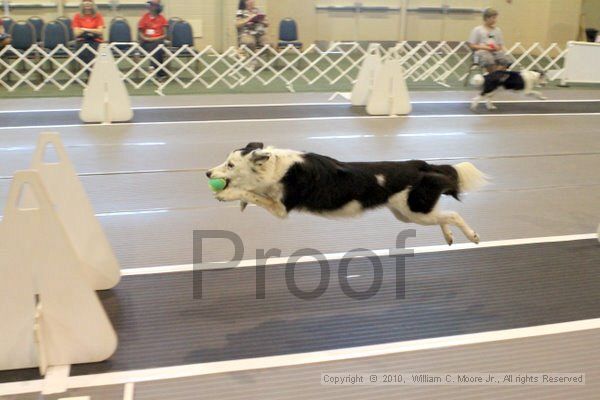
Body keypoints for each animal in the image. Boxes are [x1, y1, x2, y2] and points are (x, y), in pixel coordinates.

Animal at [206, 142, 488, 245]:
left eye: (230, 165)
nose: (208, 173)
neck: (277, 167)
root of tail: (420, 164)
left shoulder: (281, 209)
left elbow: (251, 194)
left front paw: (228, 195)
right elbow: (251, 194)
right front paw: (238, 199)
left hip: (414, 210)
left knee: (453, 214)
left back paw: (472, 236)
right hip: (408, 213)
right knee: (444, 215)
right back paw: (449, 236)